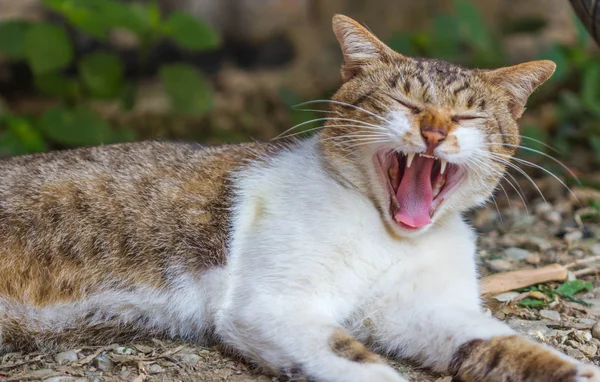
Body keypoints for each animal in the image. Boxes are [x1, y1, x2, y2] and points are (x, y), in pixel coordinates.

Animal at [1, 14, 600, 382]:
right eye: (406, 104)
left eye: (468, 117)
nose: (432, 132)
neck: (388, 236)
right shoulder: (274, 305)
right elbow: (365, 366)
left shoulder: (430, 310)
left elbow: (507, 346)